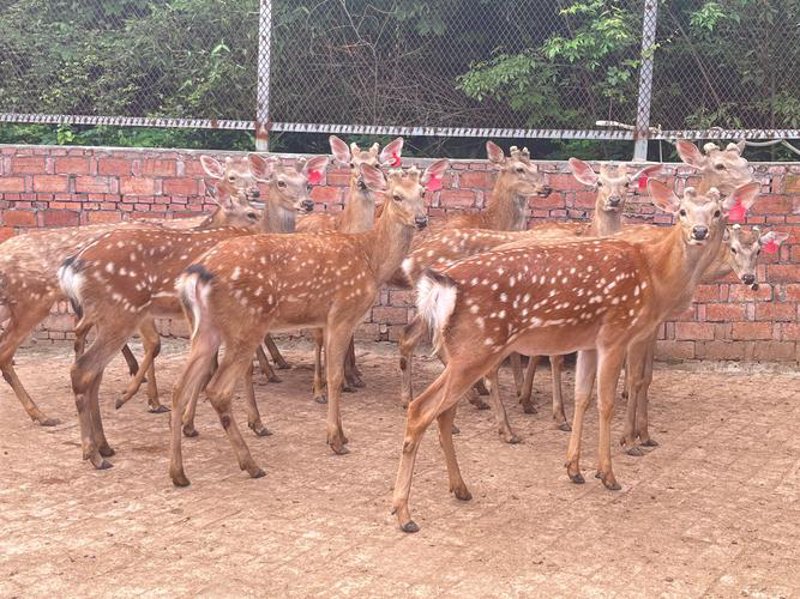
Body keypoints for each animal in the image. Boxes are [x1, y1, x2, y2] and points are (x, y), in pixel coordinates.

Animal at [0, 154, 265, 426]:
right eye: (231, 176)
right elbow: (157, 345)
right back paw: (42, 414)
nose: (255, 192)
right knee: (7, 352)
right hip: (35, 302)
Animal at [57, 155, 328, 469]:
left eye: (308, 183)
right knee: (85, 369)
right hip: (120, 312)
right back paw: (96, 450)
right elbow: (236, 369)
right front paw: (255, 423)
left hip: (109, 315)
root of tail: (72, 264)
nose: (308, 203)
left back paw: (105, 444)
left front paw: (190, 422)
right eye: (281, 182)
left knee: (95, 371)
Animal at [297, 135, 404, 397]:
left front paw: (350, 378)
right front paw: (320, 388)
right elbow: (321, 338)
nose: (363, 181)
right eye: (353, 163)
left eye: (376, 164)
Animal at [391, 180, 760, 532]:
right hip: (477, 347)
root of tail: (443, 285)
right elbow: (606, 401)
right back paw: (404, 513)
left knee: (442, 412)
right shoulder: (616, 332)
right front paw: (608, 472)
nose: (698, 232)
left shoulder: (589, 342)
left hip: (465, 351)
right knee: (421, 409)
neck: (653, 273)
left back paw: (460, 488)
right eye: (682, 211)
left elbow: (583, 394)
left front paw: (574, 468)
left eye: (716, 213)